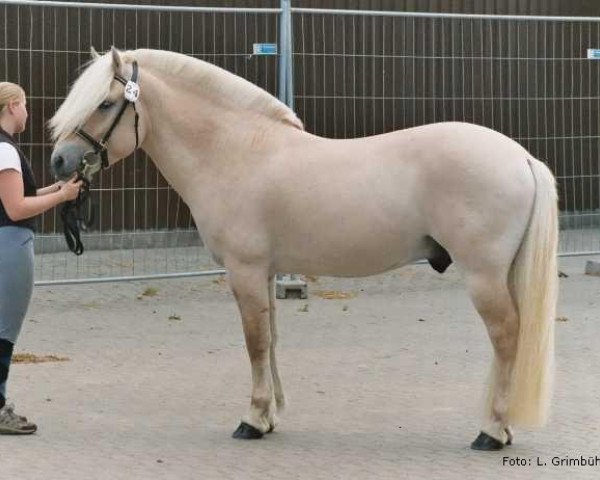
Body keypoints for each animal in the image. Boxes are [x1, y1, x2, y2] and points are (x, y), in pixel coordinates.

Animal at [48, 46, 556, 450]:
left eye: (105, 103)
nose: (59, 161)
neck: (236, 152)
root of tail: (522, 158)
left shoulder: (245, 271)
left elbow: (254, 342)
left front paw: (252, 420)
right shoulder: (268, 272)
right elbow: (271, 339)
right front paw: (271, 417)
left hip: (483, 276)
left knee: (507, 336)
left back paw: (491, 432)